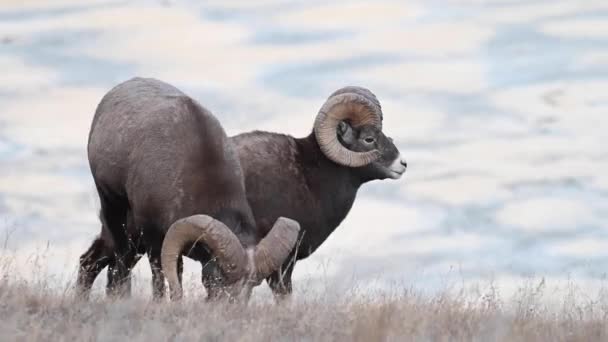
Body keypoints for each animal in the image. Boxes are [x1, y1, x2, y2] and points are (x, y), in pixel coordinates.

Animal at [78, 83, 406, 300]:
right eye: (368, 139)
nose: (401, 164)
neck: (310, 176)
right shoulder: (282, 267)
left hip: (129, 242)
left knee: (90, 264)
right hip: (133, 239)